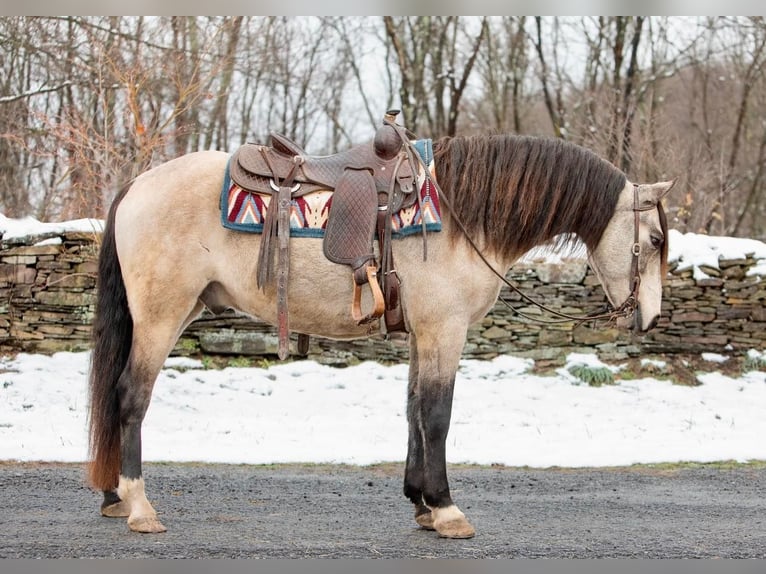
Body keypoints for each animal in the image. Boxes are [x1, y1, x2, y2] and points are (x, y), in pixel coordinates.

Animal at [87, 120, 676, 540]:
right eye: (655, 240)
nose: (646, 317)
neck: (462, 217)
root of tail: (138, 183)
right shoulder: (445, 330)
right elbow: (437, 415)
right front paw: (447, 509)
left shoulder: (422, 333)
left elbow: (414, 410)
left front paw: (421, 502)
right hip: (161, 317)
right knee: (130, 396)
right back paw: (138, 505)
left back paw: (114, 497)